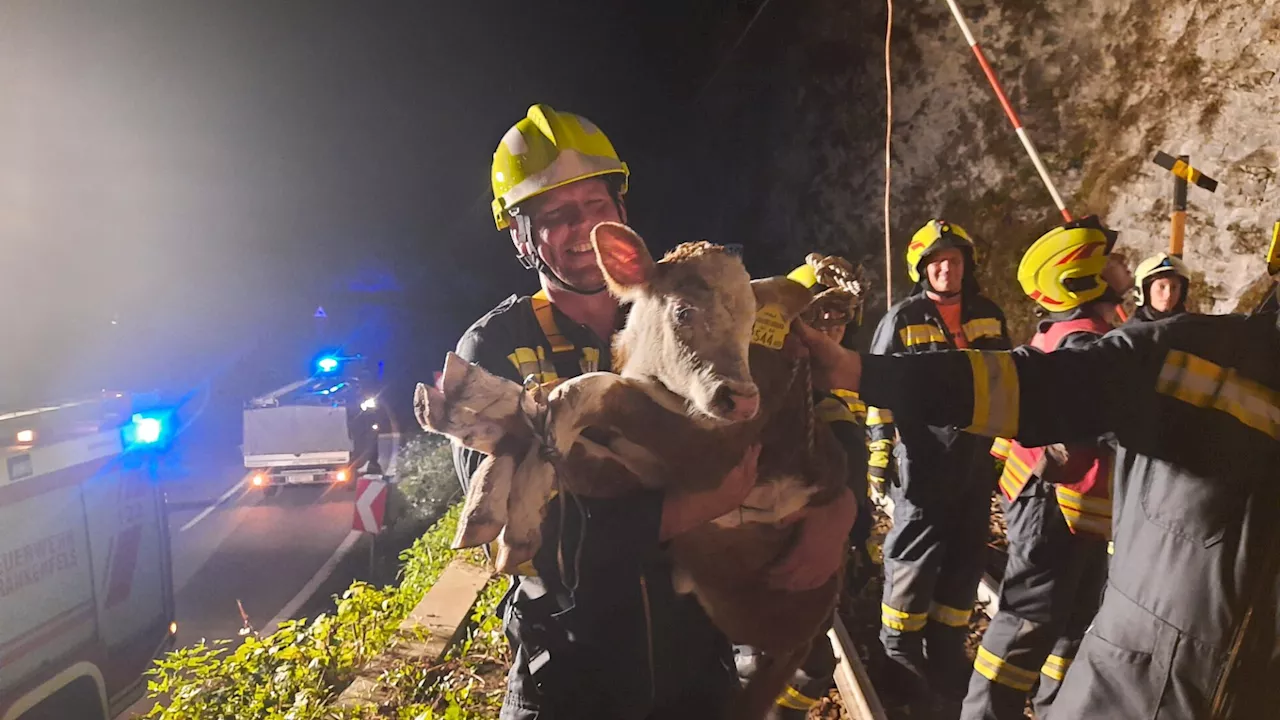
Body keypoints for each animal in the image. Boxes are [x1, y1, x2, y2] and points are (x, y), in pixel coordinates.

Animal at [417, 221, 849, 712]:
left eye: (753, 316)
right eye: (683, 311)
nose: (742, 400)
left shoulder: (718, 456)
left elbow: (600, 395)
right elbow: (558, 418)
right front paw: (492, 490)